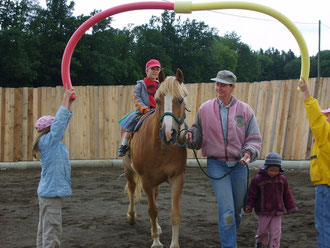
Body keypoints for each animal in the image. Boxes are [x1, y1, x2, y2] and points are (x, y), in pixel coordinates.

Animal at [121, 68, 188, 248]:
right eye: (157, 101)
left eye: (180, 99)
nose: (168, 133)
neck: (162, 148)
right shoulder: (146, 180)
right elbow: (152, 210)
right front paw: (156, 242)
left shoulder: (177, 178)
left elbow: (175, 214)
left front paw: (174, 244)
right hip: (129, 170)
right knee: (131, 189)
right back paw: (131, 216)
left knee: (156, 198)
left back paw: (156, 227)